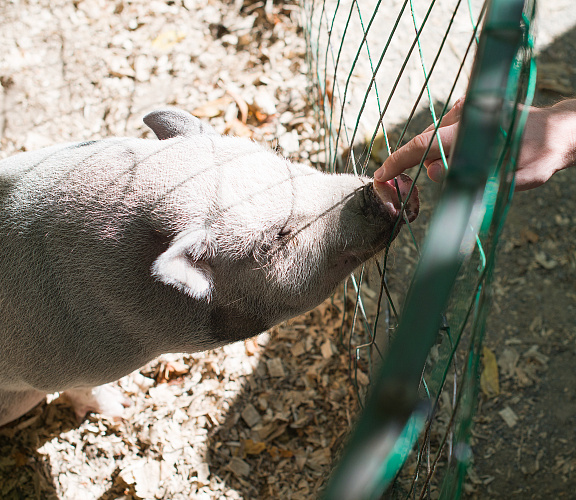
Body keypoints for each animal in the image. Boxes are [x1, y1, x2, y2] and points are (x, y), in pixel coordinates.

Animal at [0, 109, 416, 426]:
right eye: (274, 239)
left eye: (283, 162)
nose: (380, 189)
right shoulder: (60, 372)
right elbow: (84, 390)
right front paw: (123, 411)